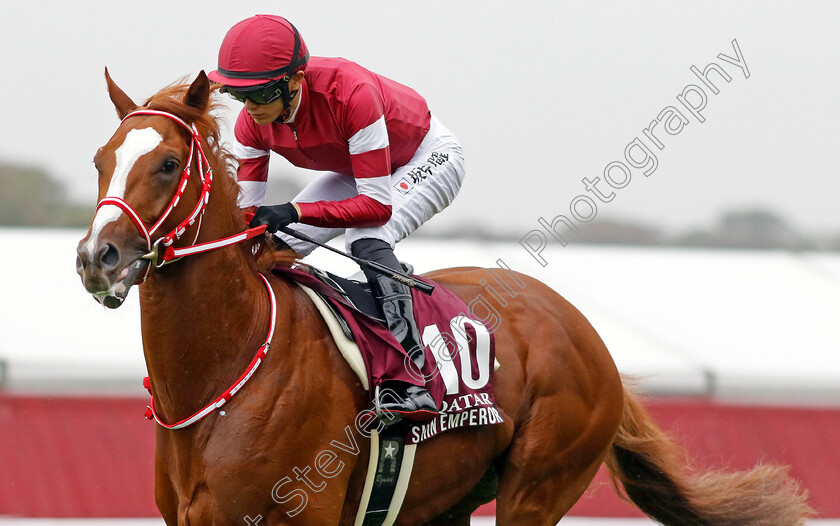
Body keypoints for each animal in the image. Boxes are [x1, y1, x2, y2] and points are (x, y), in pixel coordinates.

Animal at [75, 71, 812, 526]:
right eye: (101, 159)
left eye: (168, 164)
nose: (95, 258)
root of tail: (582, 328)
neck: (224, 371)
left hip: (537, 487)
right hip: (447, 498)